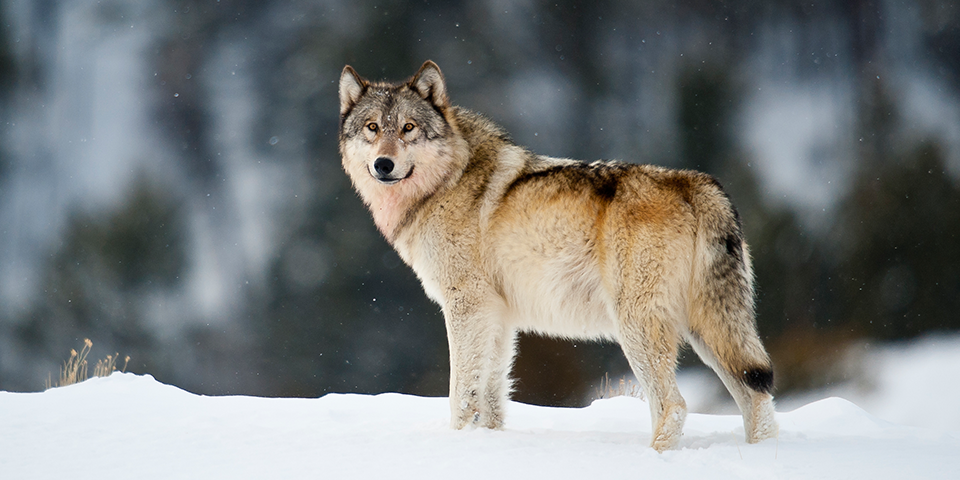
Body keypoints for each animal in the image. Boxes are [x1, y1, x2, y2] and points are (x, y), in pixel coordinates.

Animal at [338, 60, 778, 451]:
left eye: (408, 128)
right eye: (372, 128)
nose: (383, 164)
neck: (446, 181)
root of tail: (694, 183)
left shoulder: (466, 307)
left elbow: (460, 394)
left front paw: (458, 443)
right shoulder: (498, 316)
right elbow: (491, 398)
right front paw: (486, 443)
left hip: (638, 328)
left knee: (674, 405)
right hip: (707, 331)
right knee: (756, 396)